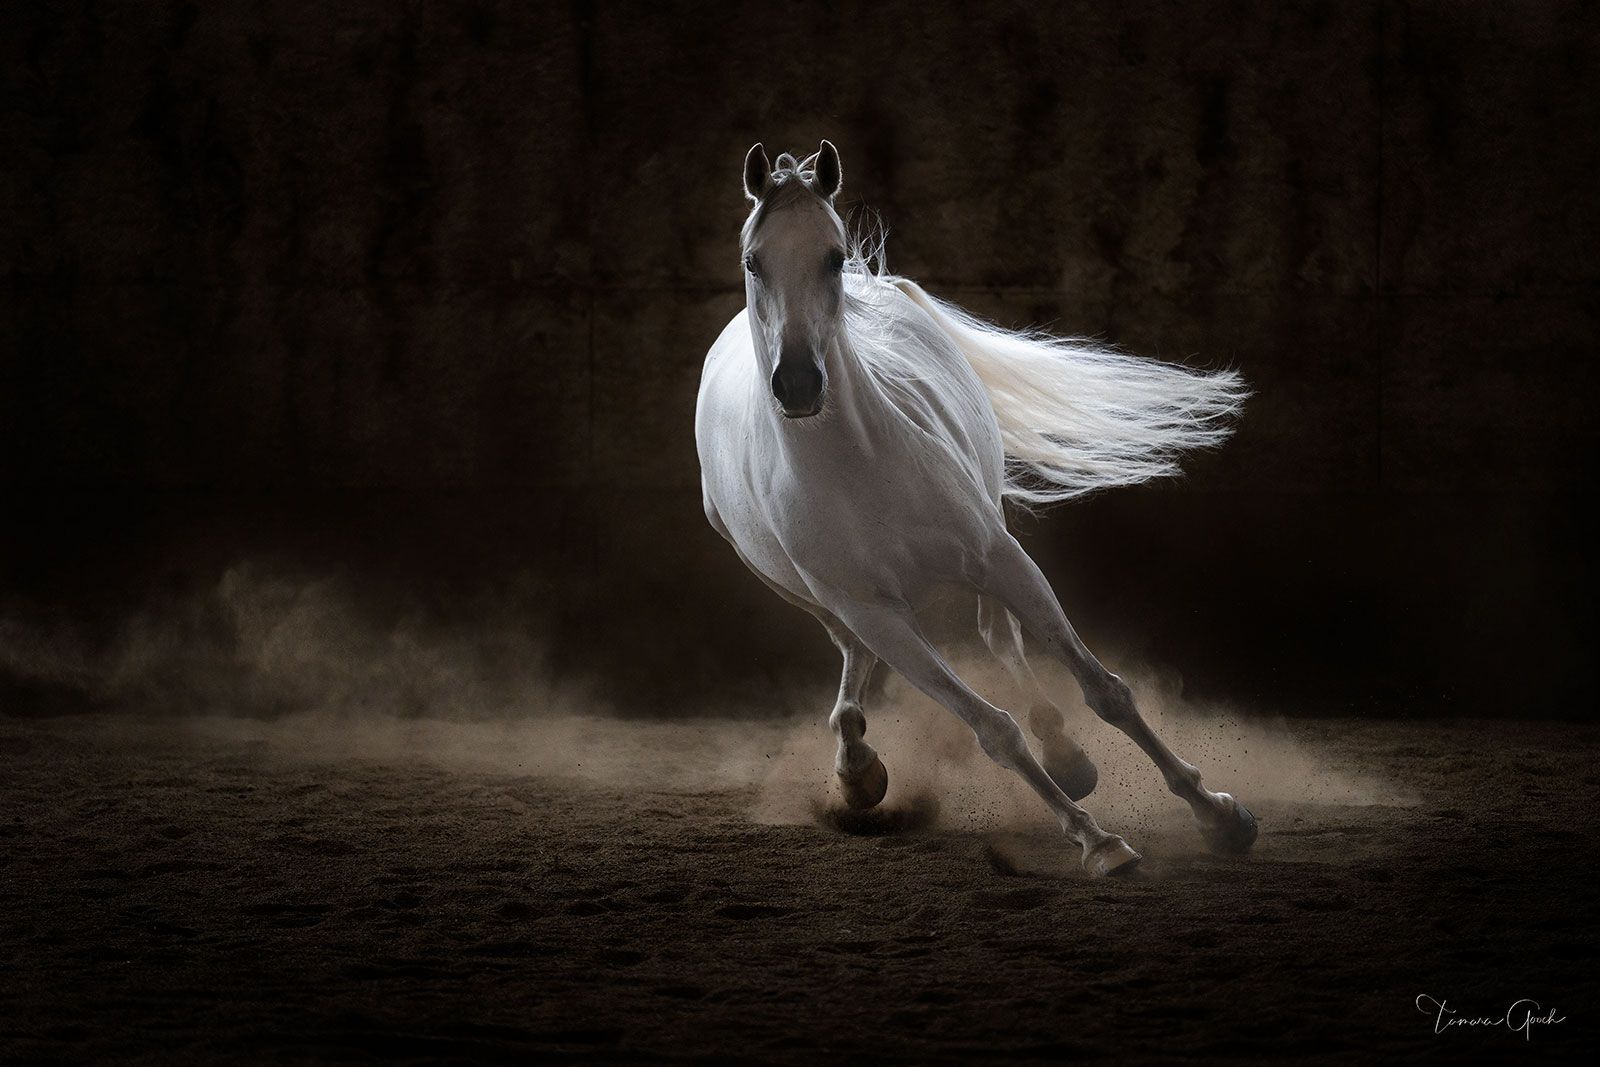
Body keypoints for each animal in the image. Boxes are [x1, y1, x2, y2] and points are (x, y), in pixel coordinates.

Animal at [694, 141, 1258, 876]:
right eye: (753, 260)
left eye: (833, 256)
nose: (797, 384)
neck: (857, 467)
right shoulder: (878, 615)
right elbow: (994, 730)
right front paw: (1099, 842)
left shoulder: (998, 557)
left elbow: (1105, 690)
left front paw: (1219, 813)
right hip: (809, 594)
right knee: (853, 660)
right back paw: (859, 770)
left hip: (990, 535)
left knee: (999, 635)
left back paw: (1066, 755)